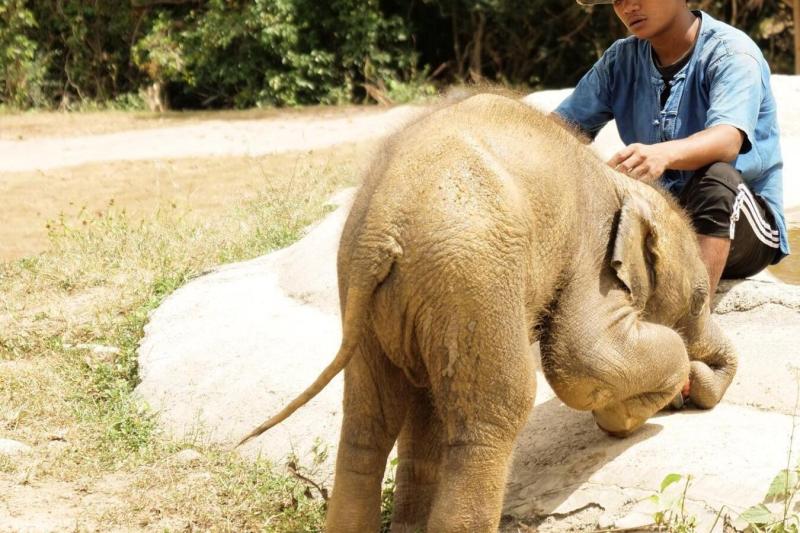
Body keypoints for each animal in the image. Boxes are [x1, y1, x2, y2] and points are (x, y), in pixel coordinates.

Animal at [239, 93, 738, 532]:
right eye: (700, 298)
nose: (693, 392)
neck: (622, 182)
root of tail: (382, 227)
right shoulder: (590, 254)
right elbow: (581, 362)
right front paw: (634, 411)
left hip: (387, 303)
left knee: (376, 420)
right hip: (472, 278)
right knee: (495, 412)